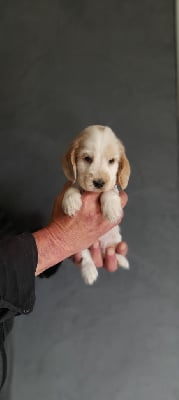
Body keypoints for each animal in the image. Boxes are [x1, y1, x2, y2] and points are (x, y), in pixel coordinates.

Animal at [61, 125, 130, 284]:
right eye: (87, 158)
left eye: (111, 160)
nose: (99, 183)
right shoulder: (74, 182)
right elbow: (72, 187)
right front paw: (71, 202)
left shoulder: (112, 187)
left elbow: (109, 191)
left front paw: (112, 210)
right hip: (77, 244)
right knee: (85, 255)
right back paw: (89, 271)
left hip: (114, 238)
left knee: (112, 251)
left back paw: (120, 259)